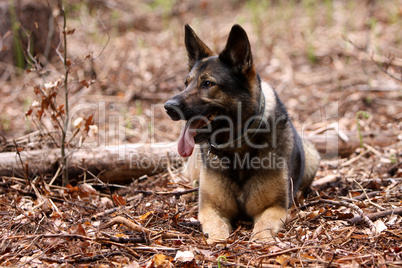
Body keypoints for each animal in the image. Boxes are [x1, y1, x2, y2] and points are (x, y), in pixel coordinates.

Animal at [164, 25, 320, 243]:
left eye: (208, 84)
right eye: (186, 83)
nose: (168, 107)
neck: (236, 147)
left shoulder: (274, 207)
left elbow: (263, 226)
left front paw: (262, 242)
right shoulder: (211, 208)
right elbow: (217, 226)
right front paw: (217, 241)